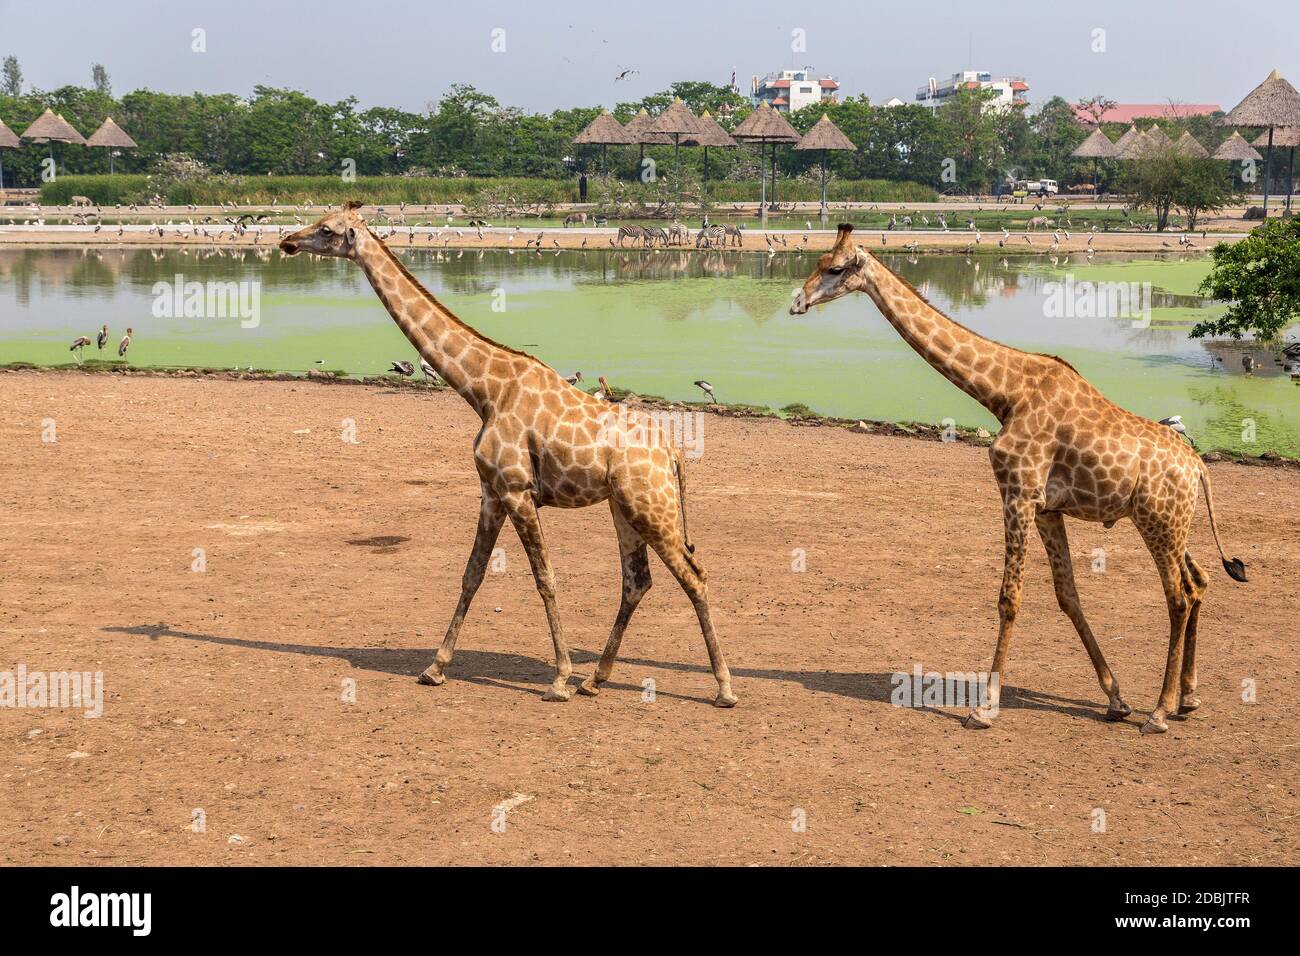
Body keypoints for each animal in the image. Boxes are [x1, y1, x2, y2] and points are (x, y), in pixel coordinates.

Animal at [279, 201, 738, 707]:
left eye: (327, 230)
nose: (287, 242)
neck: (484, 390)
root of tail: (673, 453)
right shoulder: (491, 491)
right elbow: (472, 573)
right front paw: (435, 667)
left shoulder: (517, 490)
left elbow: (545, 578)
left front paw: (558, 679)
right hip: (624, 508)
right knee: (637, 581)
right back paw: (595, 679)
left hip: (651, 507)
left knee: (694, 575)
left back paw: (722, 688)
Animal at [785, 227, 1242, 738]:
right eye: (817, 261)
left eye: (834, 268)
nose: (797, 302)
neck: (1004, 393)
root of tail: (1199, 467)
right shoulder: (1047, 509)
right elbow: (1068, 596)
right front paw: (1115, 698)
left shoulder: (1017, 493)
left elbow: (1009, 598)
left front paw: (984, 708)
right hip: (1170, 523)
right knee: (1199, 581)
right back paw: (1189, 697)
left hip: (1158, 523)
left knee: (1178, 597)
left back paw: (1160, 712)